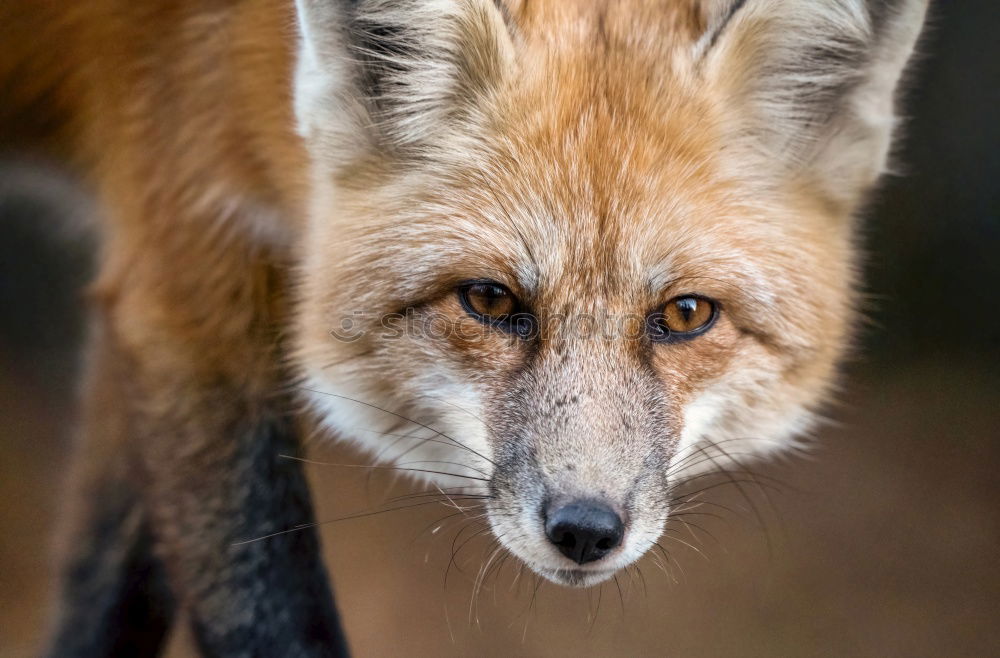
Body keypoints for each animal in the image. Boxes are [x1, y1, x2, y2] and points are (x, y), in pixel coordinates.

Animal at [1, 0, 928, 652]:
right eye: (487, 300)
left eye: (686, 315)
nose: (585, 532)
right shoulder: (181, 272)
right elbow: (264, 603)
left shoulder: (143, 298)